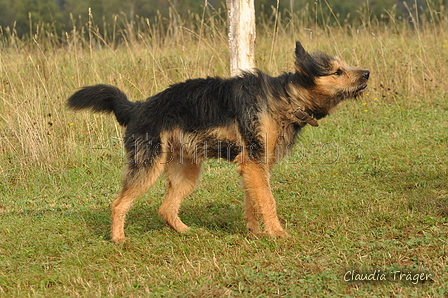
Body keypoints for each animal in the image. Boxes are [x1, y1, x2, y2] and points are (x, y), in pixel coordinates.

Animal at [65, 41, 368, 242]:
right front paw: (278, 234)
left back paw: (187, 232)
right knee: (118, 204)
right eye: (337, 72)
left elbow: (254, 203)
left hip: (187, 172)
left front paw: (255, 234)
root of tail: (137, 108)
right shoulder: (254, 164)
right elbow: (268, 201)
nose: (367, 73)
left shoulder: (255, 167)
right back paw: (118, 239)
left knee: (165, 208)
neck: (285, 97)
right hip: (148, 166)